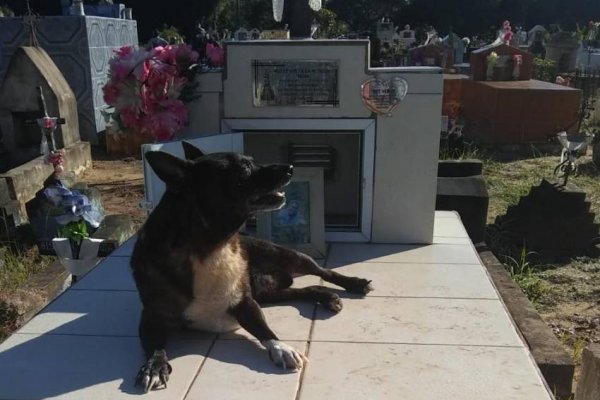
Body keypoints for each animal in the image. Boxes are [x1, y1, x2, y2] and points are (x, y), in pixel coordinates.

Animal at [134, 142, 372, 392]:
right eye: (244, 168)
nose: (290, 168)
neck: (209, 248)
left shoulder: (245, 303)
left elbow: (263, 329)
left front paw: (282, 348)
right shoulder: (152, 316)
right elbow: (155, 344)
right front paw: (154, 366)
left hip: (286, 256)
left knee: (322, 271)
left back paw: (353, 284)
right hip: (265, 291)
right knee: (303, 290)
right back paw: (327, 297)